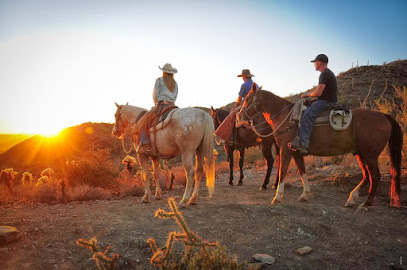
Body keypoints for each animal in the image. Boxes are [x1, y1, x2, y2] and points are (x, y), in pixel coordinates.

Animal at [237, 84, 404, 211]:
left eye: (247, 99)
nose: (239, 117)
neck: (286, 117)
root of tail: (384, 116)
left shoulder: (285, 149)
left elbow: (282, 171)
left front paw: (277, 197)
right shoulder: (296, 151)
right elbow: (302, 171)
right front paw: (305, 194)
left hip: (370, 155)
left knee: (375, 176)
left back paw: (365, 204)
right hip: (360, 153)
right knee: (366, 176)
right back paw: (352, 198)